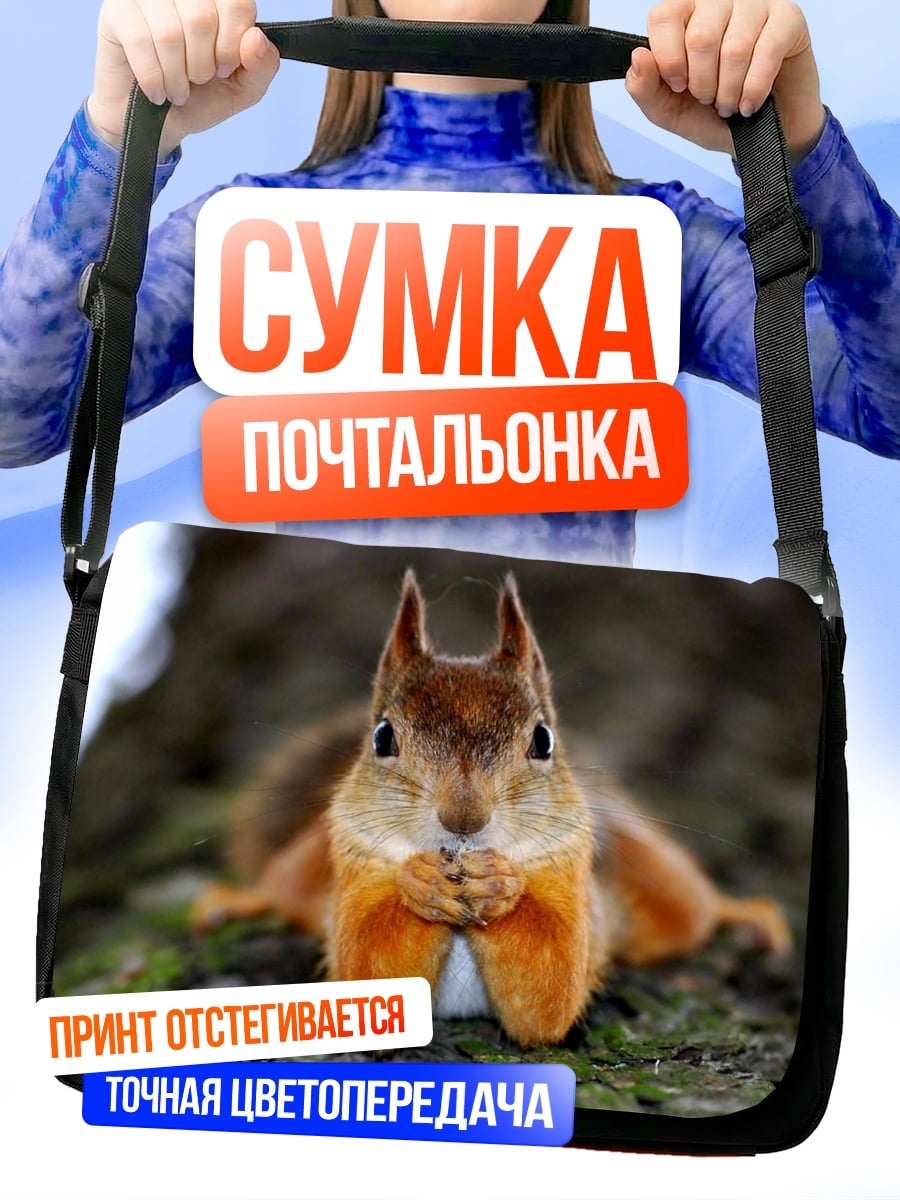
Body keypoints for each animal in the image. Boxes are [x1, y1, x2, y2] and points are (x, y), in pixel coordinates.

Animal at [192, 569, 790, 1047]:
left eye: (543, 740)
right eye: (383, 737)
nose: (464, 819)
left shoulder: (572, 879)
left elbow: (551, 990)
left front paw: (500, 885)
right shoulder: (353, 861)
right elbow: (368, 966)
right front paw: (420, 883)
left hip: (652, 875)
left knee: (692, 909)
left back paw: (746, 913)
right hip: (308, 863)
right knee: (282, 890)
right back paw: (236, 902)